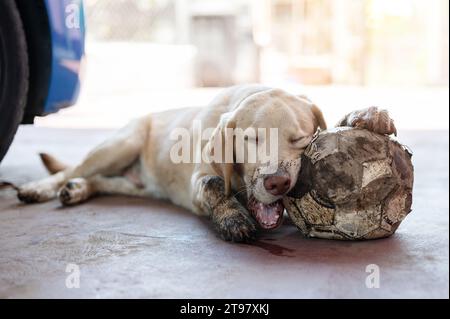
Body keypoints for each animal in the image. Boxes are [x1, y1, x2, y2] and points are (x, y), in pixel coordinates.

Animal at [17, 85, 398, 242]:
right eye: (251, 139)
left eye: (300, 139)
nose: (277, 183)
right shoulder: (200, 176)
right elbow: (215, 184)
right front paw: (232, 217)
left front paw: (368, 114)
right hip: (120, 144)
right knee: (72, 169)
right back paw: (39, 188)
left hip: (131, 182)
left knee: (99, 181)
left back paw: (78, 190)